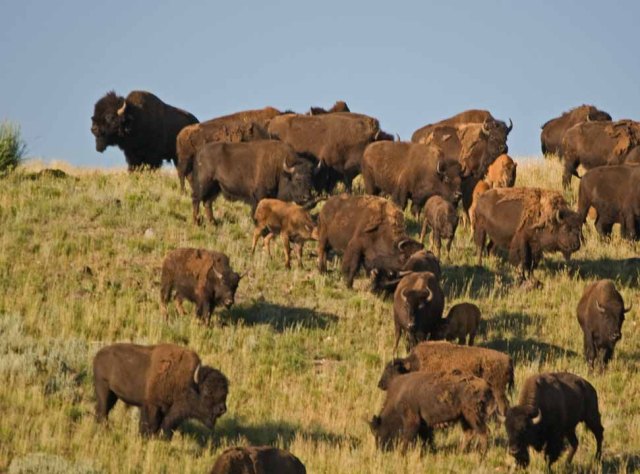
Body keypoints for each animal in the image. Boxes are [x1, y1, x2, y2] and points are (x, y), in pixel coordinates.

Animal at [93, 343, 228, 437]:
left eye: (225, 392)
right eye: (207, 391)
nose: (222, 409)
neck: (189, 383)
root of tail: (98, 354)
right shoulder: (152, 406)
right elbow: (149, 426)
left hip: (113, 395)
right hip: (103, 389)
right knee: (102, 412)